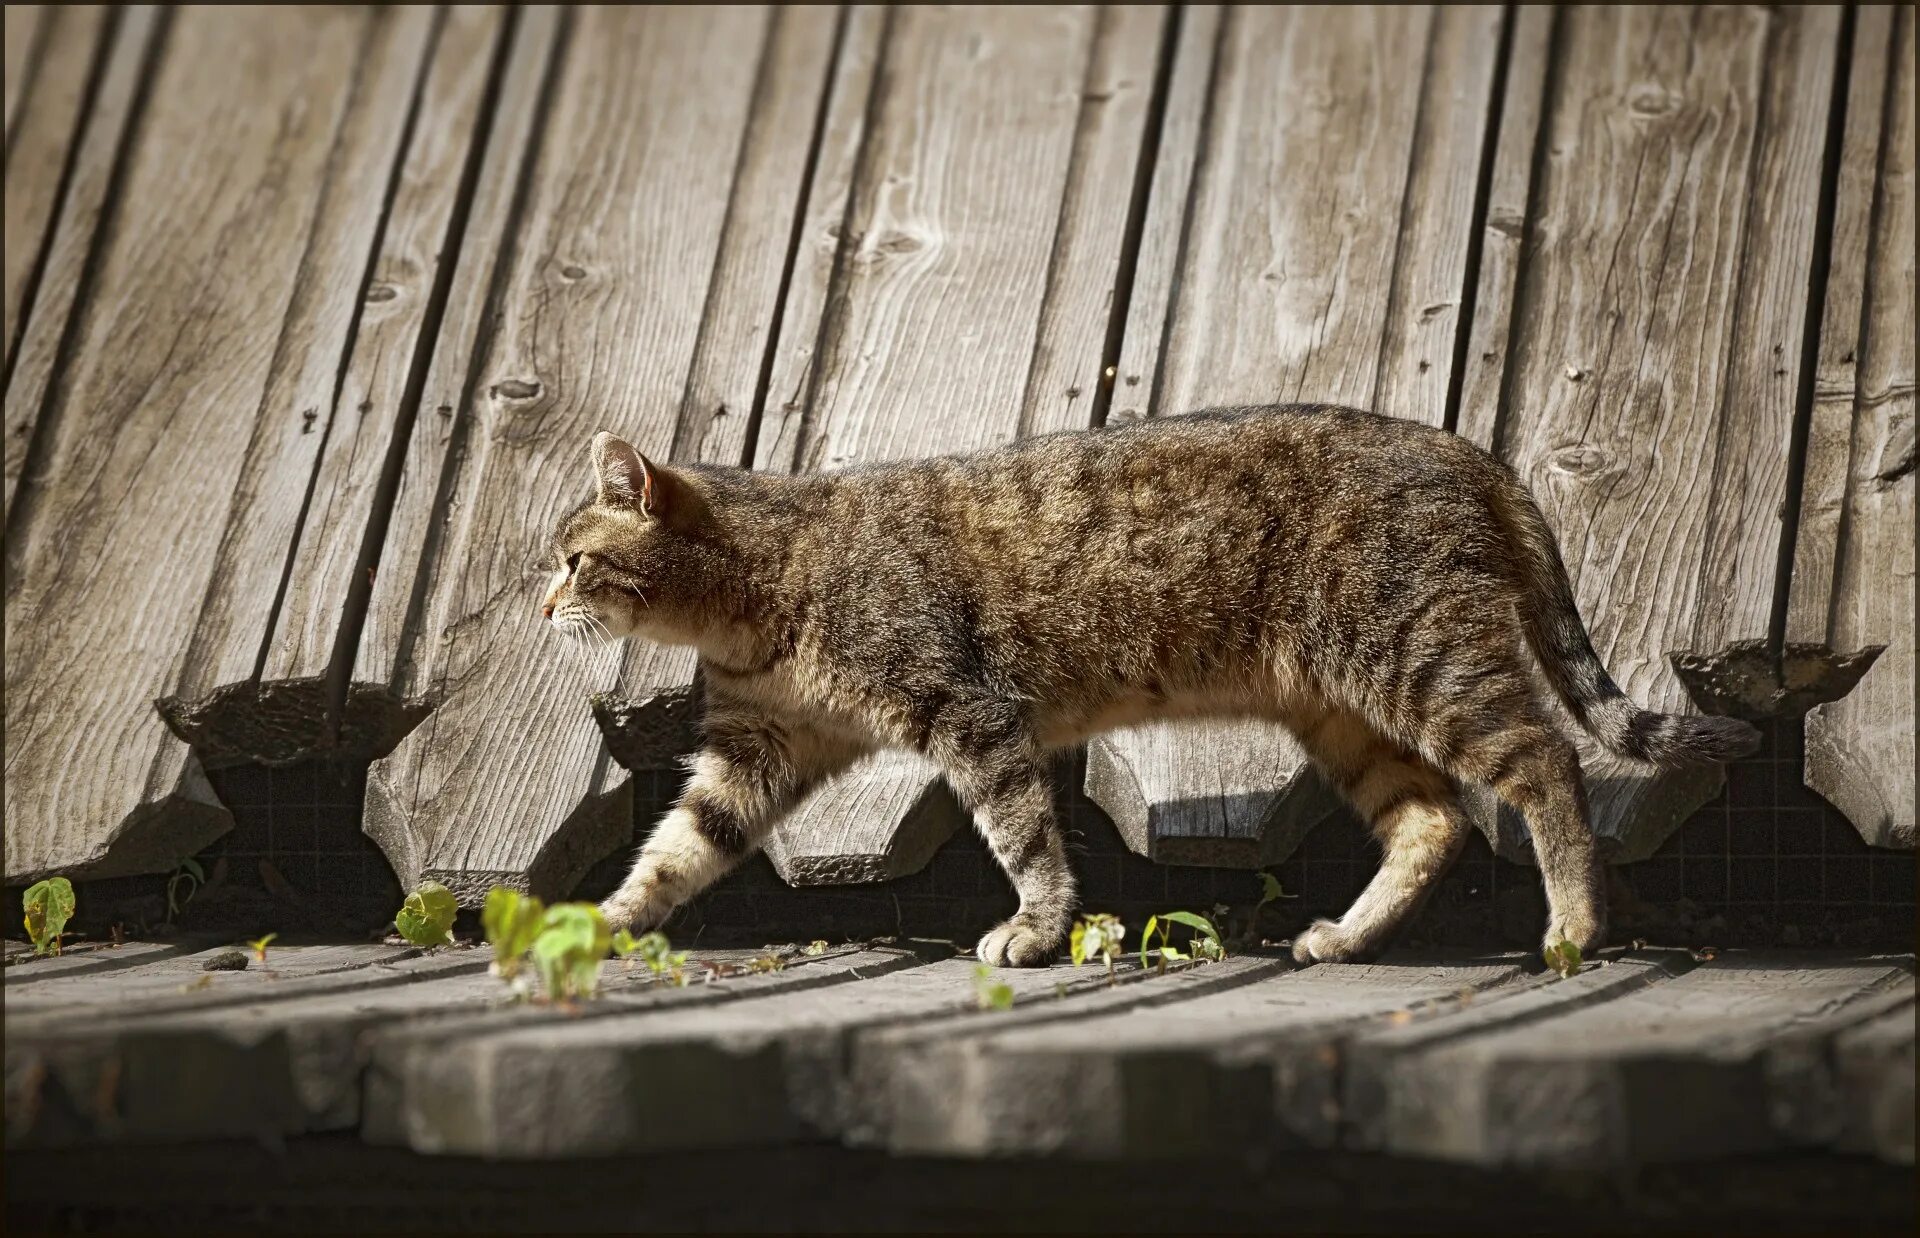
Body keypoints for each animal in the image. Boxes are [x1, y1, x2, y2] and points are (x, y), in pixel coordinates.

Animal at [541, 404, 1758, 967]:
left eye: (573, 558)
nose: (539, 603)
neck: (761, 590)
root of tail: (1468, 448)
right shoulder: (756, 750)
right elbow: (675, 850)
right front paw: (603, 922)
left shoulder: (971, 715)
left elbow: (1024, 837)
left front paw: (1034, 930)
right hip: (1345, 709)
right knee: (1434, 819)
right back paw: (1345, 937)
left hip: (1424, 663)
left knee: (1545, 762)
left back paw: (1573, 927)